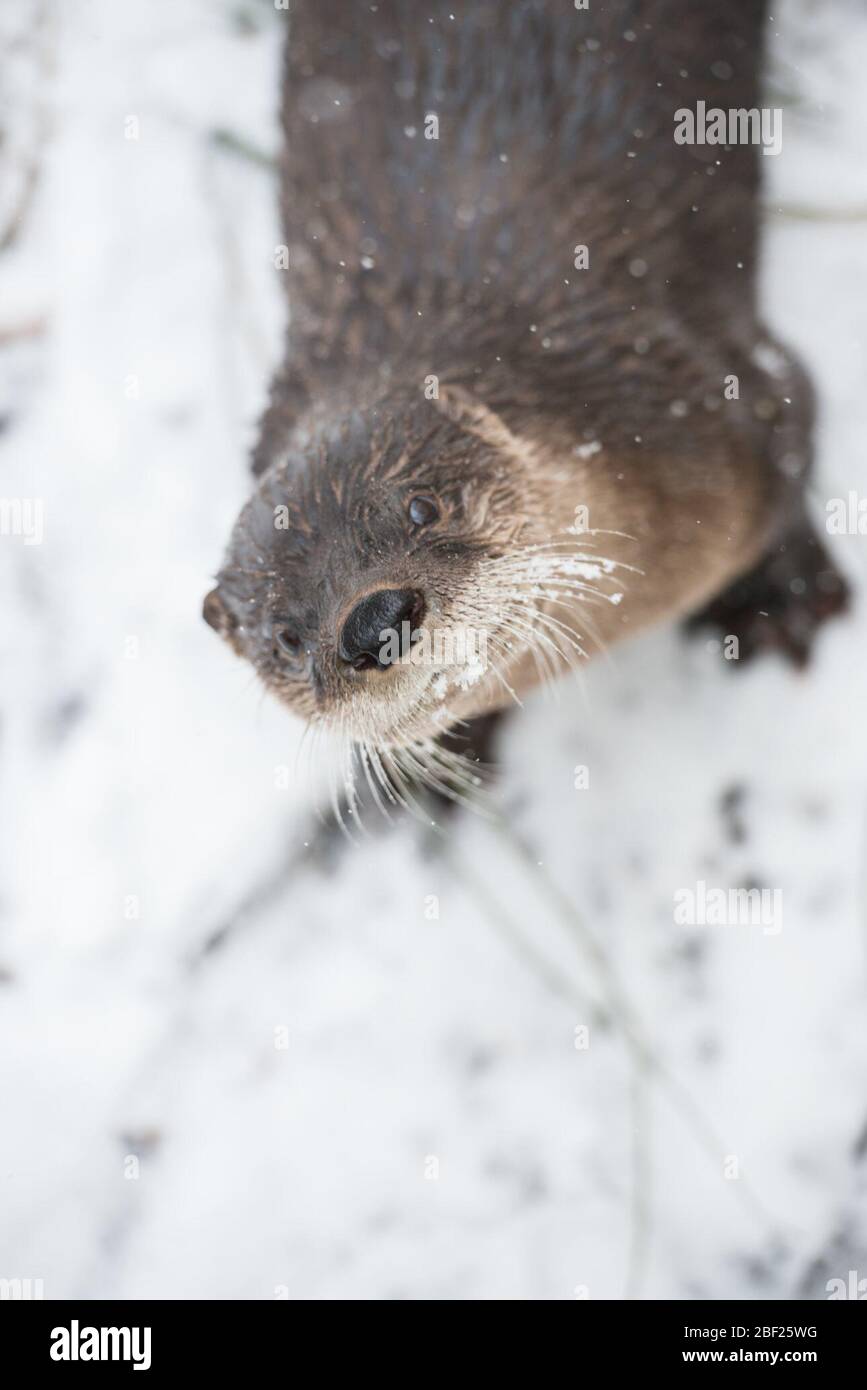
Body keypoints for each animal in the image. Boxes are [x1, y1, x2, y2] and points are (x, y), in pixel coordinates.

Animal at [204, 0, 846, 802]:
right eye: (286, 637)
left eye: (423, 506)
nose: (373, 622)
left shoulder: (719, 387)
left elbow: (796, 430)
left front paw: (778, 599)